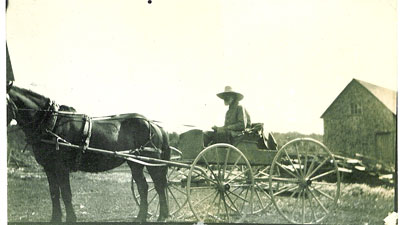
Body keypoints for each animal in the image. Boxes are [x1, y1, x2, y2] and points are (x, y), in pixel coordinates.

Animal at [6, 85, 170, 222]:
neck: (52, 123)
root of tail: (154, 125)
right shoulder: (49, 168)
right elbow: (54, 193)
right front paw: (56, 219)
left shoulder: (61, 168)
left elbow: (66, 193)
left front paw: (71, 219)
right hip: (135, 163)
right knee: (144, 187)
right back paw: (144, 217)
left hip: (151, 162)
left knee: (159, 185)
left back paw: (160, 216)